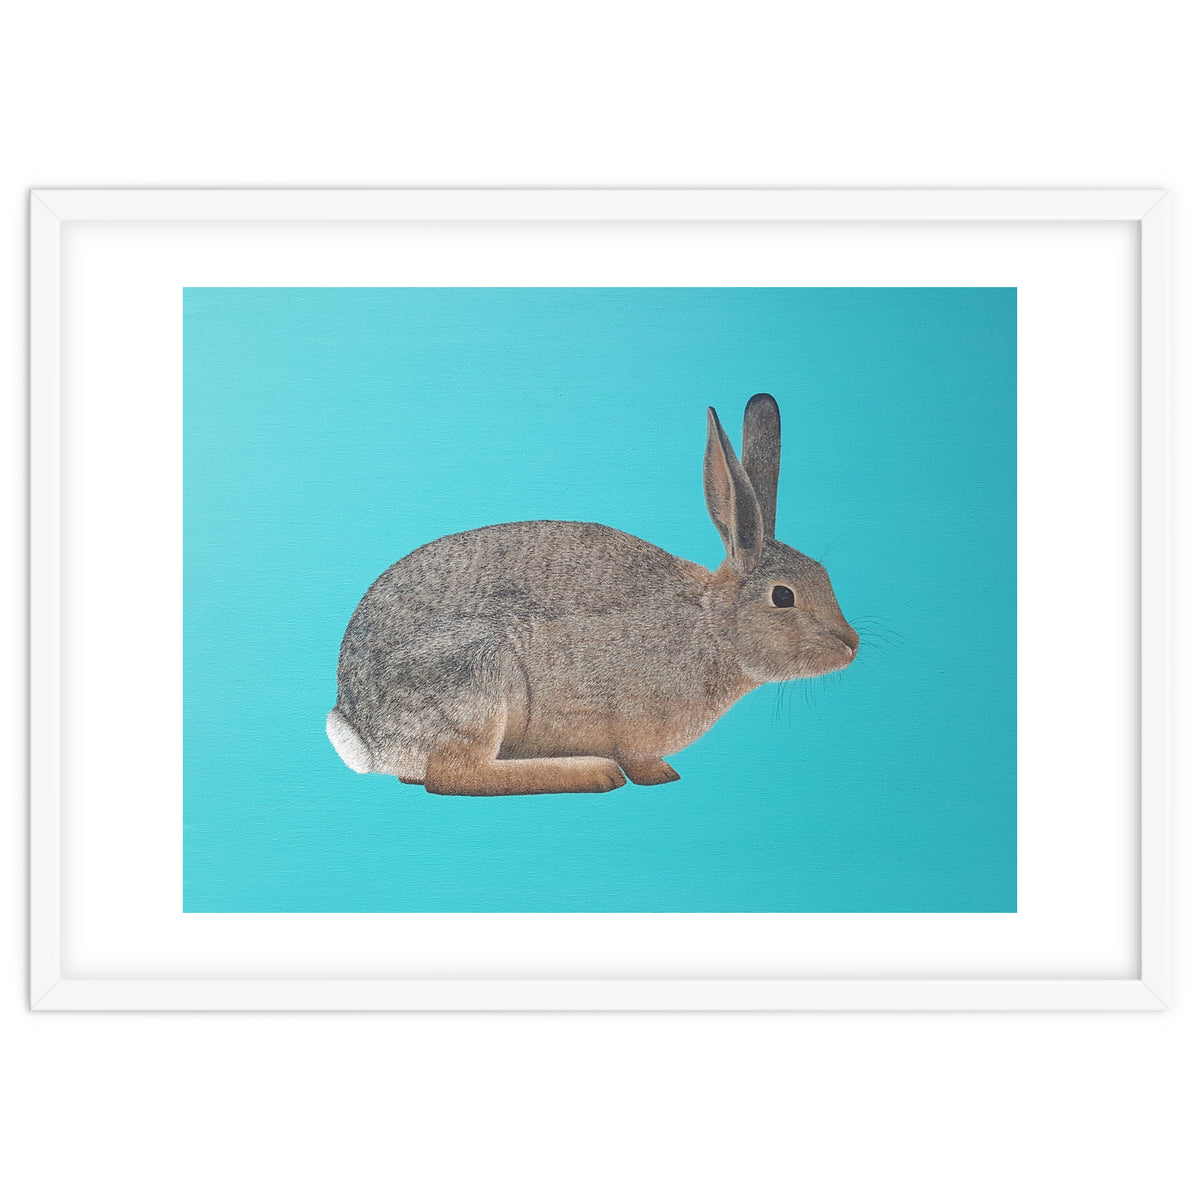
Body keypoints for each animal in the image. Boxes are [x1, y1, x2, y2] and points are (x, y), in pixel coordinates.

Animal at [326, 393, 858, 794]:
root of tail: (362, 730)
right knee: (454, 775)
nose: (851, 645)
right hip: (476, 674)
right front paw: (658, 775)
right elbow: (640, 760)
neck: (713, 625)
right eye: (783, 597)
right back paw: (593, 772)